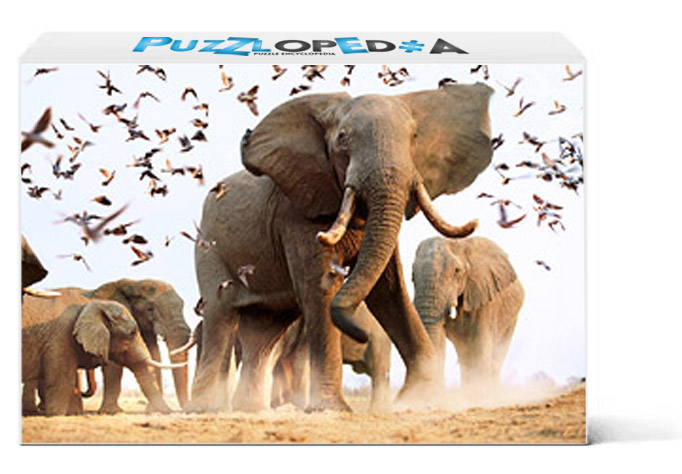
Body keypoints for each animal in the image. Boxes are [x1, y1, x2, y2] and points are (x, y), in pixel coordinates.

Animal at [22, 279, 191, 413]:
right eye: (150, 309)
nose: (182, 410)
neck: (132, 283)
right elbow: (114, 366)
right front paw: (112, 412)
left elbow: (152, 355)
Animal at [189, 83, 494, 412]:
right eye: (343, 138)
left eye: (414, 137)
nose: (360, 335)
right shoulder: (297, 214)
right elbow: (321, 290)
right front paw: (330, 408)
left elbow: (388, 291)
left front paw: (422, 398)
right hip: (209, 247)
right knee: (220, 314)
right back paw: (205, 409)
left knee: (265, 330)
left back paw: (251, 409)